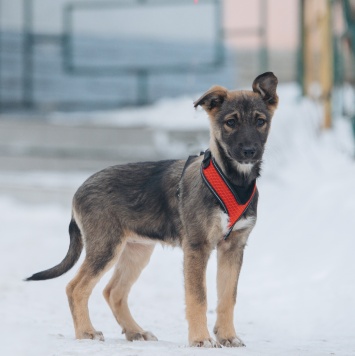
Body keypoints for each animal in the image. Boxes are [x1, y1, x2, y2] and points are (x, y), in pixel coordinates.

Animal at [26, 71, 280, 348]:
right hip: (106, 246)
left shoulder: (234, 247)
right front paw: (200, 339)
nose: (249, 151)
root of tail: (79, 189)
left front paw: (227, 336)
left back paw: (135, 331)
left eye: (260, 121)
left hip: (137, 250)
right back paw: (87, 332)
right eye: (231, 122)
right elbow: (198, 297)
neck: (233, 181)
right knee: (76, 287)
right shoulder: (197, 247)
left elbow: (227, 297)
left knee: (113, 291)